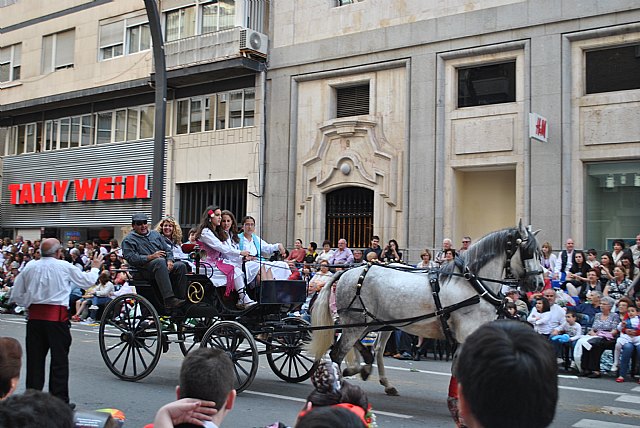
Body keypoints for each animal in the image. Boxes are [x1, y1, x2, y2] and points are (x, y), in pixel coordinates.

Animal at [308, 222, 544, 396]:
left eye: (541, 252)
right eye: (528, 251)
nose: (539, 283)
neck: (473, 284)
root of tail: (350, 270)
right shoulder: (466, 333)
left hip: (374, 322)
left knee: (372, 348)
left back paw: (369, 372)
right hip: (357, 322)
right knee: (338, 352)